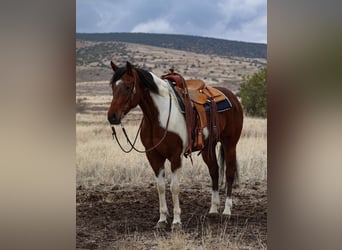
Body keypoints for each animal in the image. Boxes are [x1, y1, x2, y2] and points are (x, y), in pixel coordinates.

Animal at [107, 60, 243, 229]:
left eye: (127, 86)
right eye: (113, 86)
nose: (112, 117)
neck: (158, 116)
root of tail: (231, 96)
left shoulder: (175, 156)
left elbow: (174, 187)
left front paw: (177, 221)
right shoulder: (153, 155)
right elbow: (160, 187)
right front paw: (162, 219)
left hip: (230, 144)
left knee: (229, 173)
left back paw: (226, 211)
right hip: (208, 148)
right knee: (214, 172)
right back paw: (213, 209)